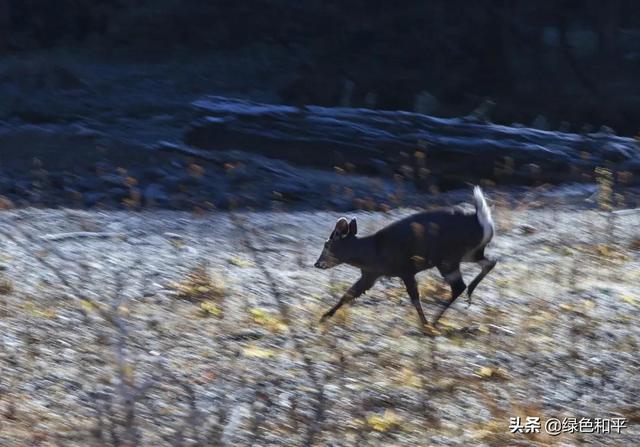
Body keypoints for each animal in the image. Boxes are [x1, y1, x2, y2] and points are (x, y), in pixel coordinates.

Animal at [314, 186, 496, 328]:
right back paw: (468, 295)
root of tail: (482, 222)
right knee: (490, 262)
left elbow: (415, 298)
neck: (372, 252)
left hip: (448, 259)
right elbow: (349, 294)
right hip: (468, 253)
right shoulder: (371, 275)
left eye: (326, 244)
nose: (317, 263)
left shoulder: (405, 270)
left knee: (459, 286)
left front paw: (424, 324)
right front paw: (324, 317)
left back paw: (434, 321)